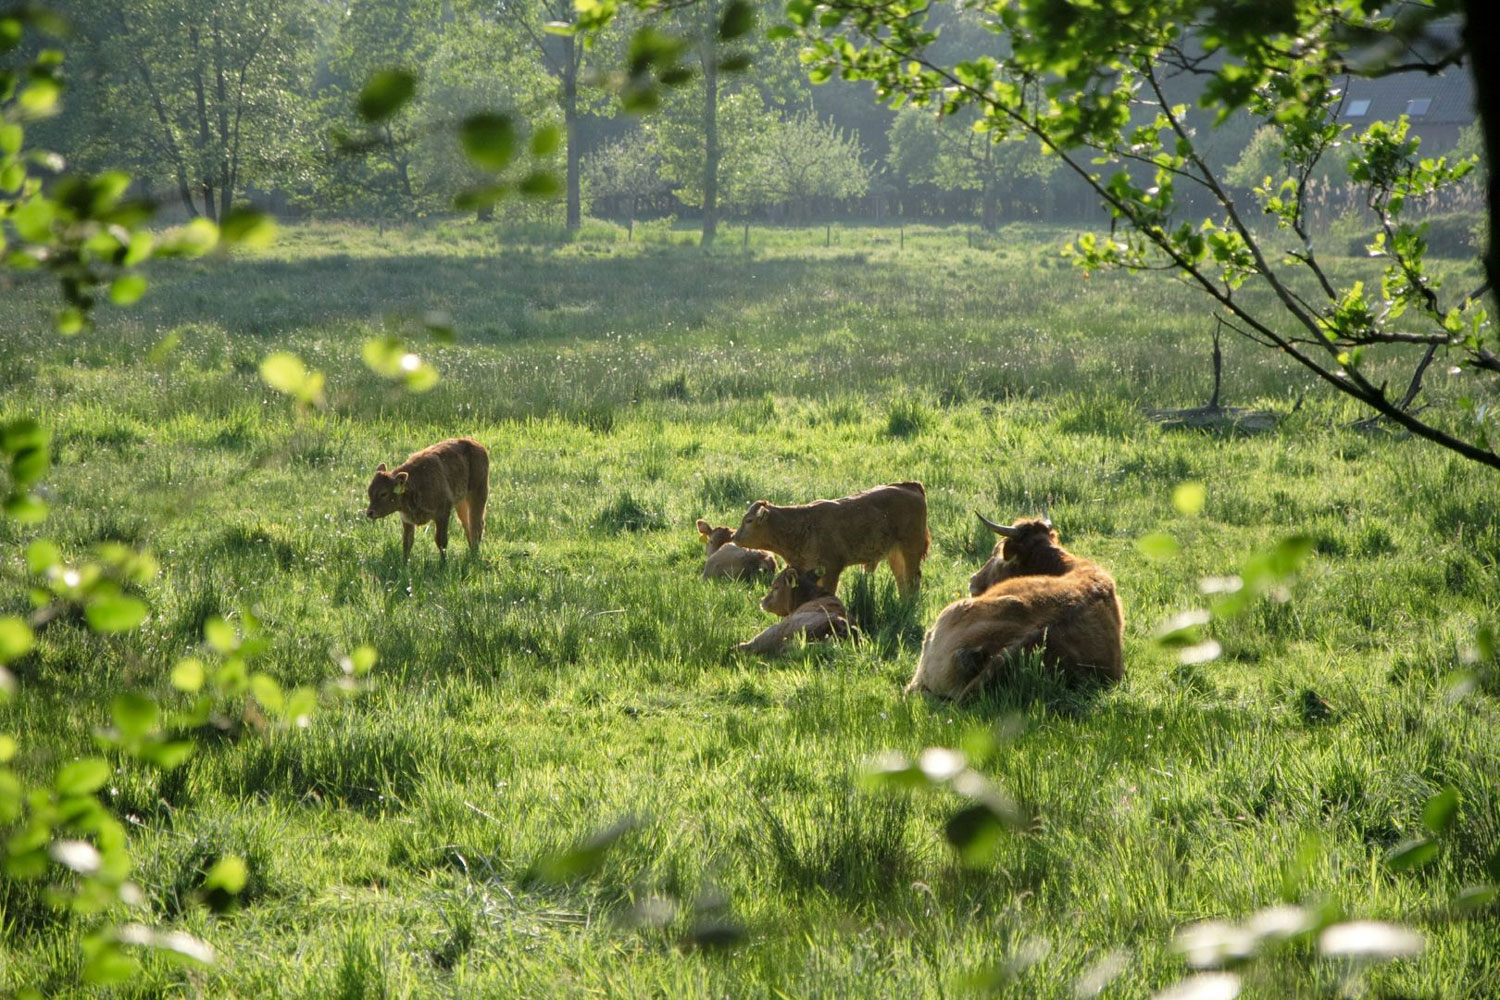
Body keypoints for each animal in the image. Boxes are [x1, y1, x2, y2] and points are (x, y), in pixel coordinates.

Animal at [730, 482, 929, 595]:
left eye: (749, 520)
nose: (734, 536)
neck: (801, 525)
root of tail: (910, 486)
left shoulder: (832, 567)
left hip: (910, 550)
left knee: (912, 580)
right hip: (894, 554)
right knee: (902, 581)